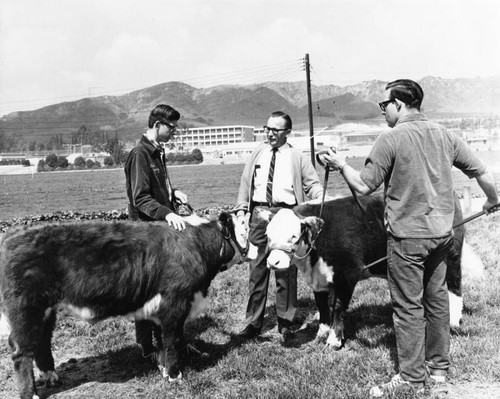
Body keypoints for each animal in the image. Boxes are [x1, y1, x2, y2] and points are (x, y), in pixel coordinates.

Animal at [0, 212, 247, 399]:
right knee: (22, 352)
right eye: (244, 228)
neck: (197, 245)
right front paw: (175, 376)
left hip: (46, 310)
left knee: (42, 341)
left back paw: (50, 375)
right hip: (26, 308)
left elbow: (162, 340)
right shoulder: (174, 303)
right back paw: (31, 393)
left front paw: (163, 368)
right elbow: (172, 340)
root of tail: (12, 236)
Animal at [264, 195, 470, 348]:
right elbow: (322, 306)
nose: (273, 262)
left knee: (455, 287)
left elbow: (338, 307)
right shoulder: (318, 279)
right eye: (268, 235)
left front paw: (334, 340)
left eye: (293, 236)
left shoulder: (347, 275)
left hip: (451, 256)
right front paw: (321, 334)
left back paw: (453, 321)